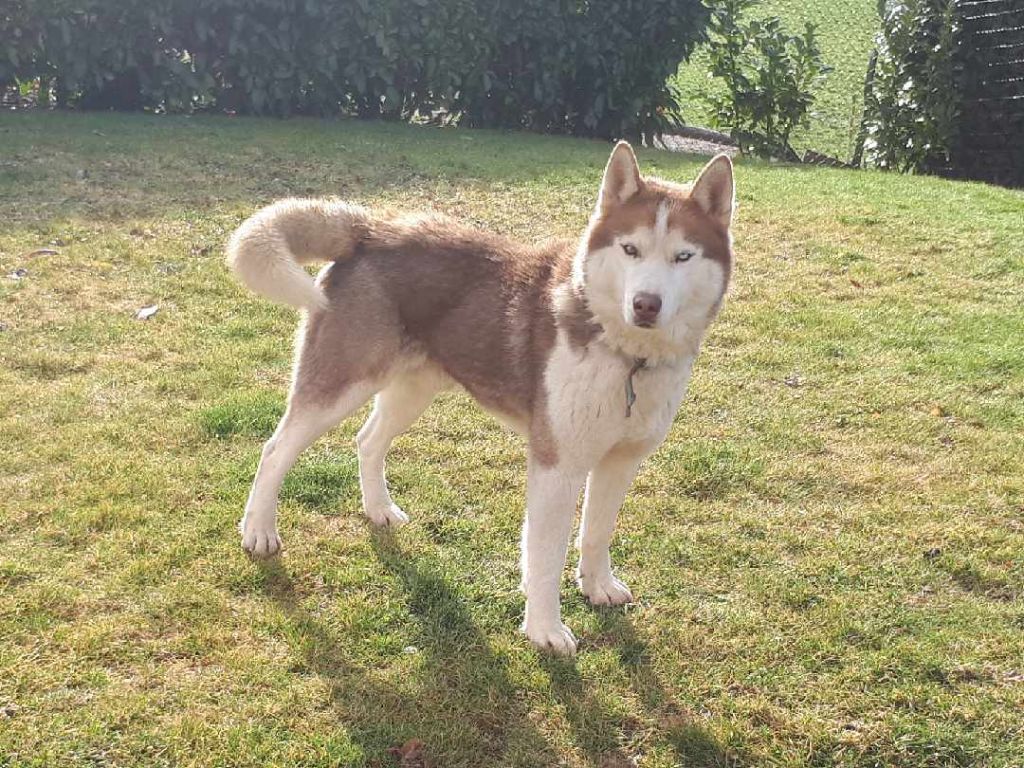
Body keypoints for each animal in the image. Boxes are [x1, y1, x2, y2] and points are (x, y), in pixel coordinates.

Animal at [227, 142, 734, 655]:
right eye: (630, 249)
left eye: (683, 256)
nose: (645, 304)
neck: (627, 354)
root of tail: (372, 228)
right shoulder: (557, 464)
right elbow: (546, 553)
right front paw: (545, 629)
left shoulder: (620, 461)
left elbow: (596, 532)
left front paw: (596, 587)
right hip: (340, 384)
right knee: (276, 449)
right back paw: (259, 532)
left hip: (413, 389)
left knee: (367, 441)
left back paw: (378, 510)